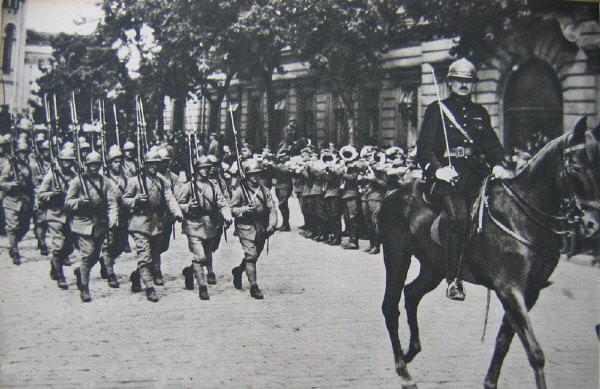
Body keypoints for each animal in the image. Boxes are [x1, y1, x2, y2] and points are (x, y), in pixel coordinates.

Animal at [382, 117, 596, 388]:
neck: (521, 216)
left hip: (434, 267)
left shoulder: (530, 292)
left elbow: (505, 340)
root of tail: (392, 195)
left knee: (411, 294)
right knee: (390, 307)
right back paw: (403, 371)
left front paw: (490, 382)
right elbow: (535, 351)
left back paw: (410, 352)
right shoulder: (509, 288)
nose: (592, 225)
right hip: (396, 256)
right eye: (577, 169)